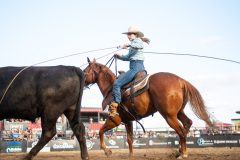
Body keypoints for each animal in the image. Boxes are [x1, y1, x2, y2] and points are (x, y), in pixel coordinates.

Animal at [84, 58, 212, 158]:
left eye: (85, 71)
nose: (82, 81)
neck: (110, 89)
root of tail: (180, 80)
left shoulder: (115, 119)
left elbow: (100, 131)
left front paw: (107, 151)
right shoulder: (128, 121)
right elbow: (129, 139)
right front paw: (130, 155)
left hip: (169, 116)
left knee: (181, 131)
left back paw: (183, 153)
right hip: (178, 112)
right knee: (187, 124)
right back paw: (179, 151)